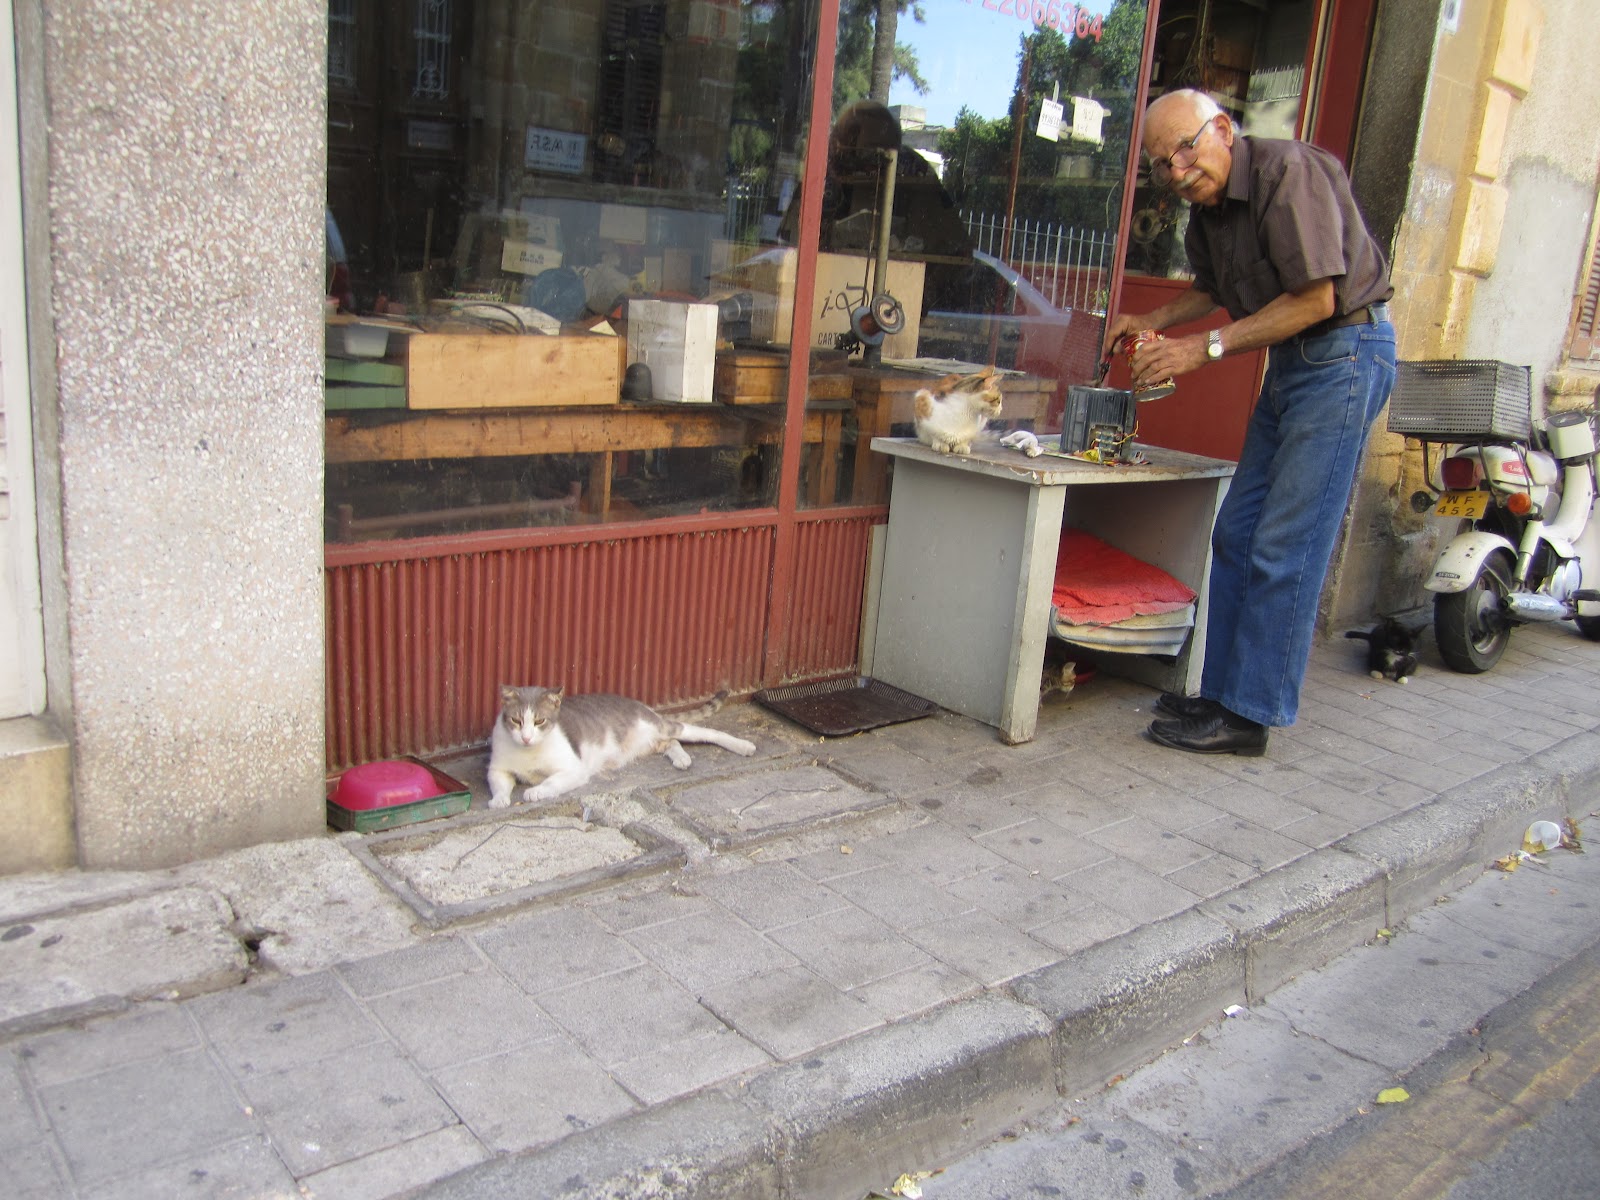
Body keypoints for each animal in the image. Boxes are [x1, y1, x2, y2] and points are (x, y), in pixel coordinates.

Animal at [487, 685, 757, 807]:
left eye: (539, 721)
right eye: (516, 721)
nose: (526, 737)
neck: (529, 753)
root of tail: (641, 705)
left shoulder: (574, 769)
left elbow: (551, 781)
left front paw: (535, 791)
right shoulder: (497, 769)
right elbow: (499, 783)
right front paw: (500, 799)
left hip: (663, 726)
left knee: (700, 732)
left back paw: (743, 745)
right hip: (649, 742)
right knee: (671, 742)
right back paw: (682, 759)